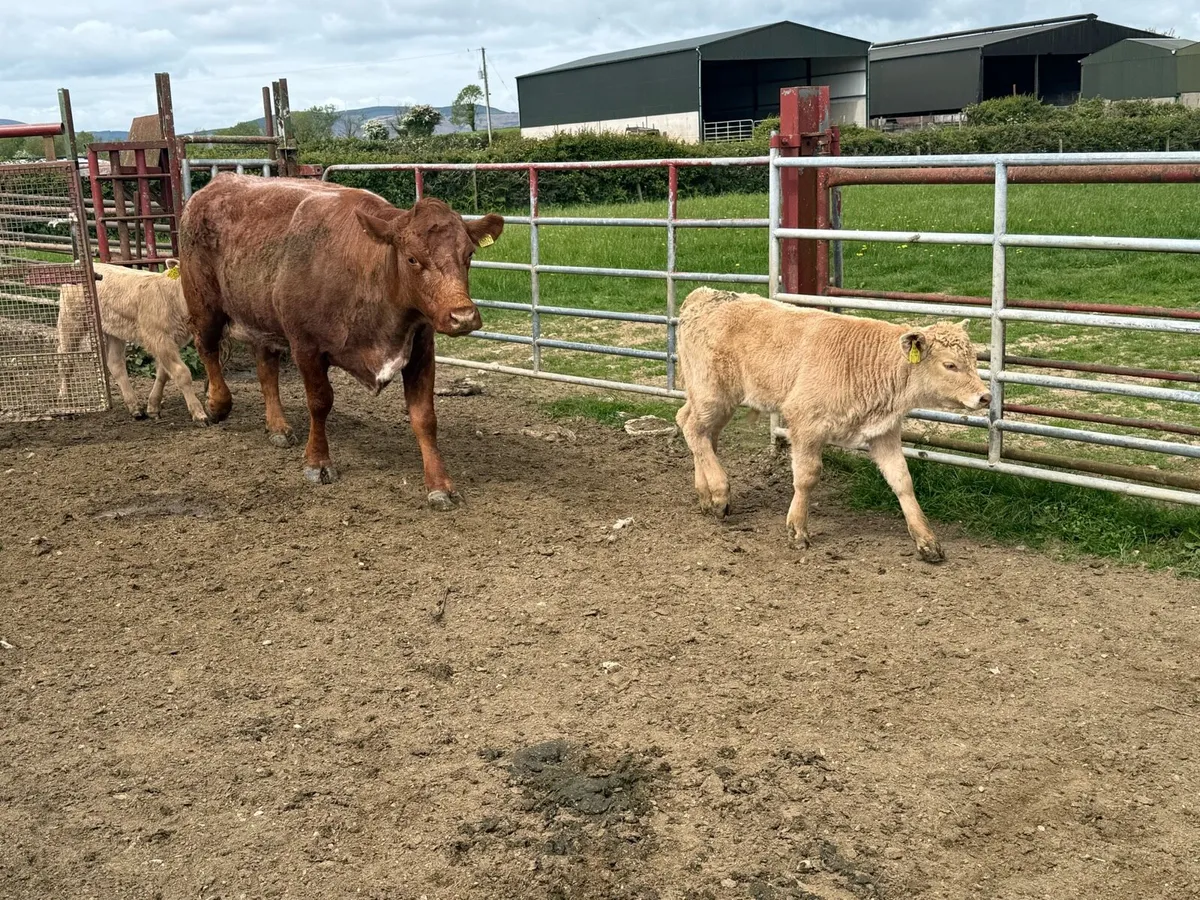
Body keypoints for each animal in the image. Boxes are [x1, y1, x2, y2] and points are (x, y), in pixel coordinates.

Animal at [57, 260, 208, 423]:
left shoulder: (170, 342)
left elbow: (163, 374)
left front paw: (153, 407)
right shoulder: (159, 338)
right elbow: (181, 373)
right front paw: (199, 413)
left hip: (114, 331)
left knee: (115, 363)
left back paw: (135, 407)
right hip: (71, 321)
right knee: (65, 361)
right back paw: (65, 404)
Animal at [179, 175, 503, 507]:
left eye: (469, 255)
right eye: (412, 258)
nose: (462, 316)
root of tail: (217, 184)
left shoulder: (421, 350)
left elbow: (424, 417)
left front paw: (440, 484)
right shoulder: (306, 347)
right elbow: (320, 402)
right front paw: (318, 462)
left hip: (262, 319)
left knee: (266, 370)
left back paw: (278, 426)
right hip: (204, 304)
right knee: (207, 348)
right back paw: (216, 404)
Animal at [675, 288, 990, 563]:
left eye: (975, 359)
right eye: (950, 365)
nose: (985, 396)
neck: (866, 363)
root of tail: (704, 295)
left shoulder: (883, 432)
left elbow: (902, 480)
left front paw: (927, 541)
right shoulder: (805, 423)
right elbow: (807, 476)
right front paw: (797, 530)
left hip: (713, 400)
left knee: (700, 432)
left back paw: (705, 495)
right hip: (712, 393)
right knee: (693, 429)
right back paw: (719, 493)